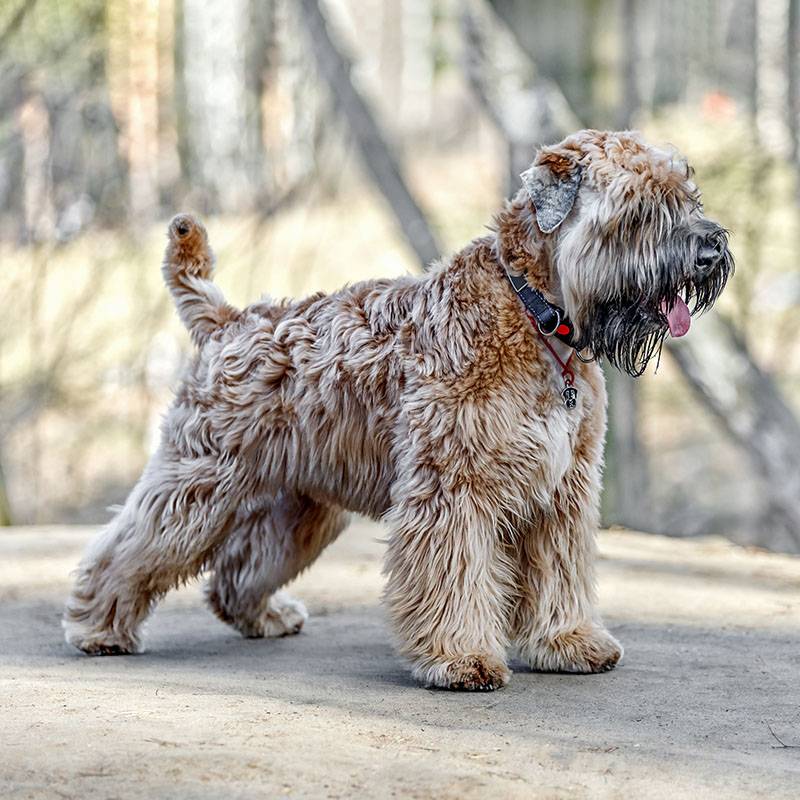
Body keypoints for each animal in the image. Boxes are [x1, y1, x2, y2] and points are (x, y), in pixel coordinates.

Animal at [65, 130, 736, 688]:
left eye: (688, 196)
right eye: (639, 209)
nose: (710, 251)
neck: (536, 316)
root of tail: (228, 320)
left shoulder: (561, 493)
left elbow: (560, 574)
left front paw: (567, 641)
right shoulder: (454, 488)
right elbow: (454, 577)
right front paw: (459, 659)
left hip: (299, 507)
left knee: (237, 571)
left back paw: (265, 615)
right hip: (198, 485)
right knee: (129, 548)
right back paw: (98, 627)